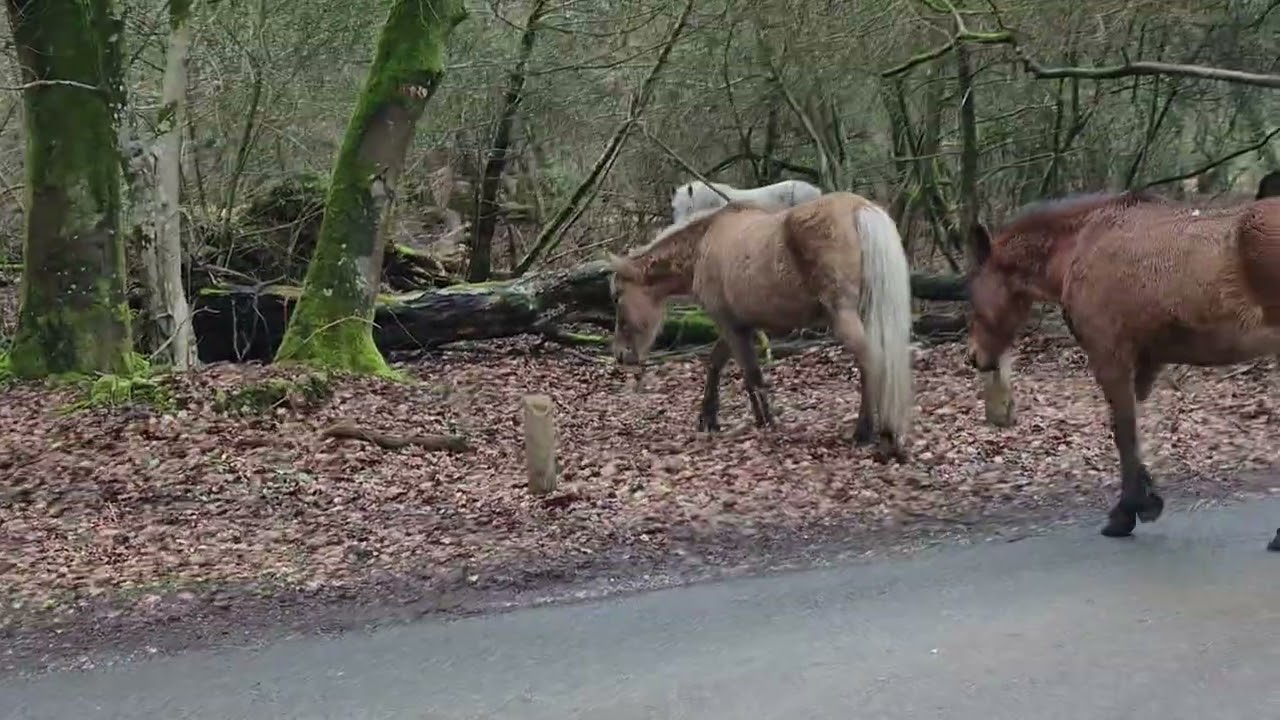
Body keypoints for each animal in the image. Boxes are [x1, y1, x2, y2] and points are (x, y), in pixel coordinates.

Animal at [608, 192, 915, 460]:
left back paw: (869, 432)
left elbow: (750, 374)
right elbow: (719, 364)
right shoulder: (740, 324)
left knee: (871, 361)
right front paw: (710, 418)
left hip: (844, 317)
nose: (620, 354)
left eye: (617, 296)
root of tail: (860, 208)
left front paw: (764, 421)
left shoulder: (728, 323)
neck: (706, 241)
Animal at [965, 189, 1280, 541]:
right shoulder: (1144, 364)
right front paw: (1146, 499)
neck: (1082, 244)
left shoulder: (1110, 359)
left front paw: (1127, 511)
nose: (975, 357)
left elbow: (1123, 433)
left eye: (973, 294)